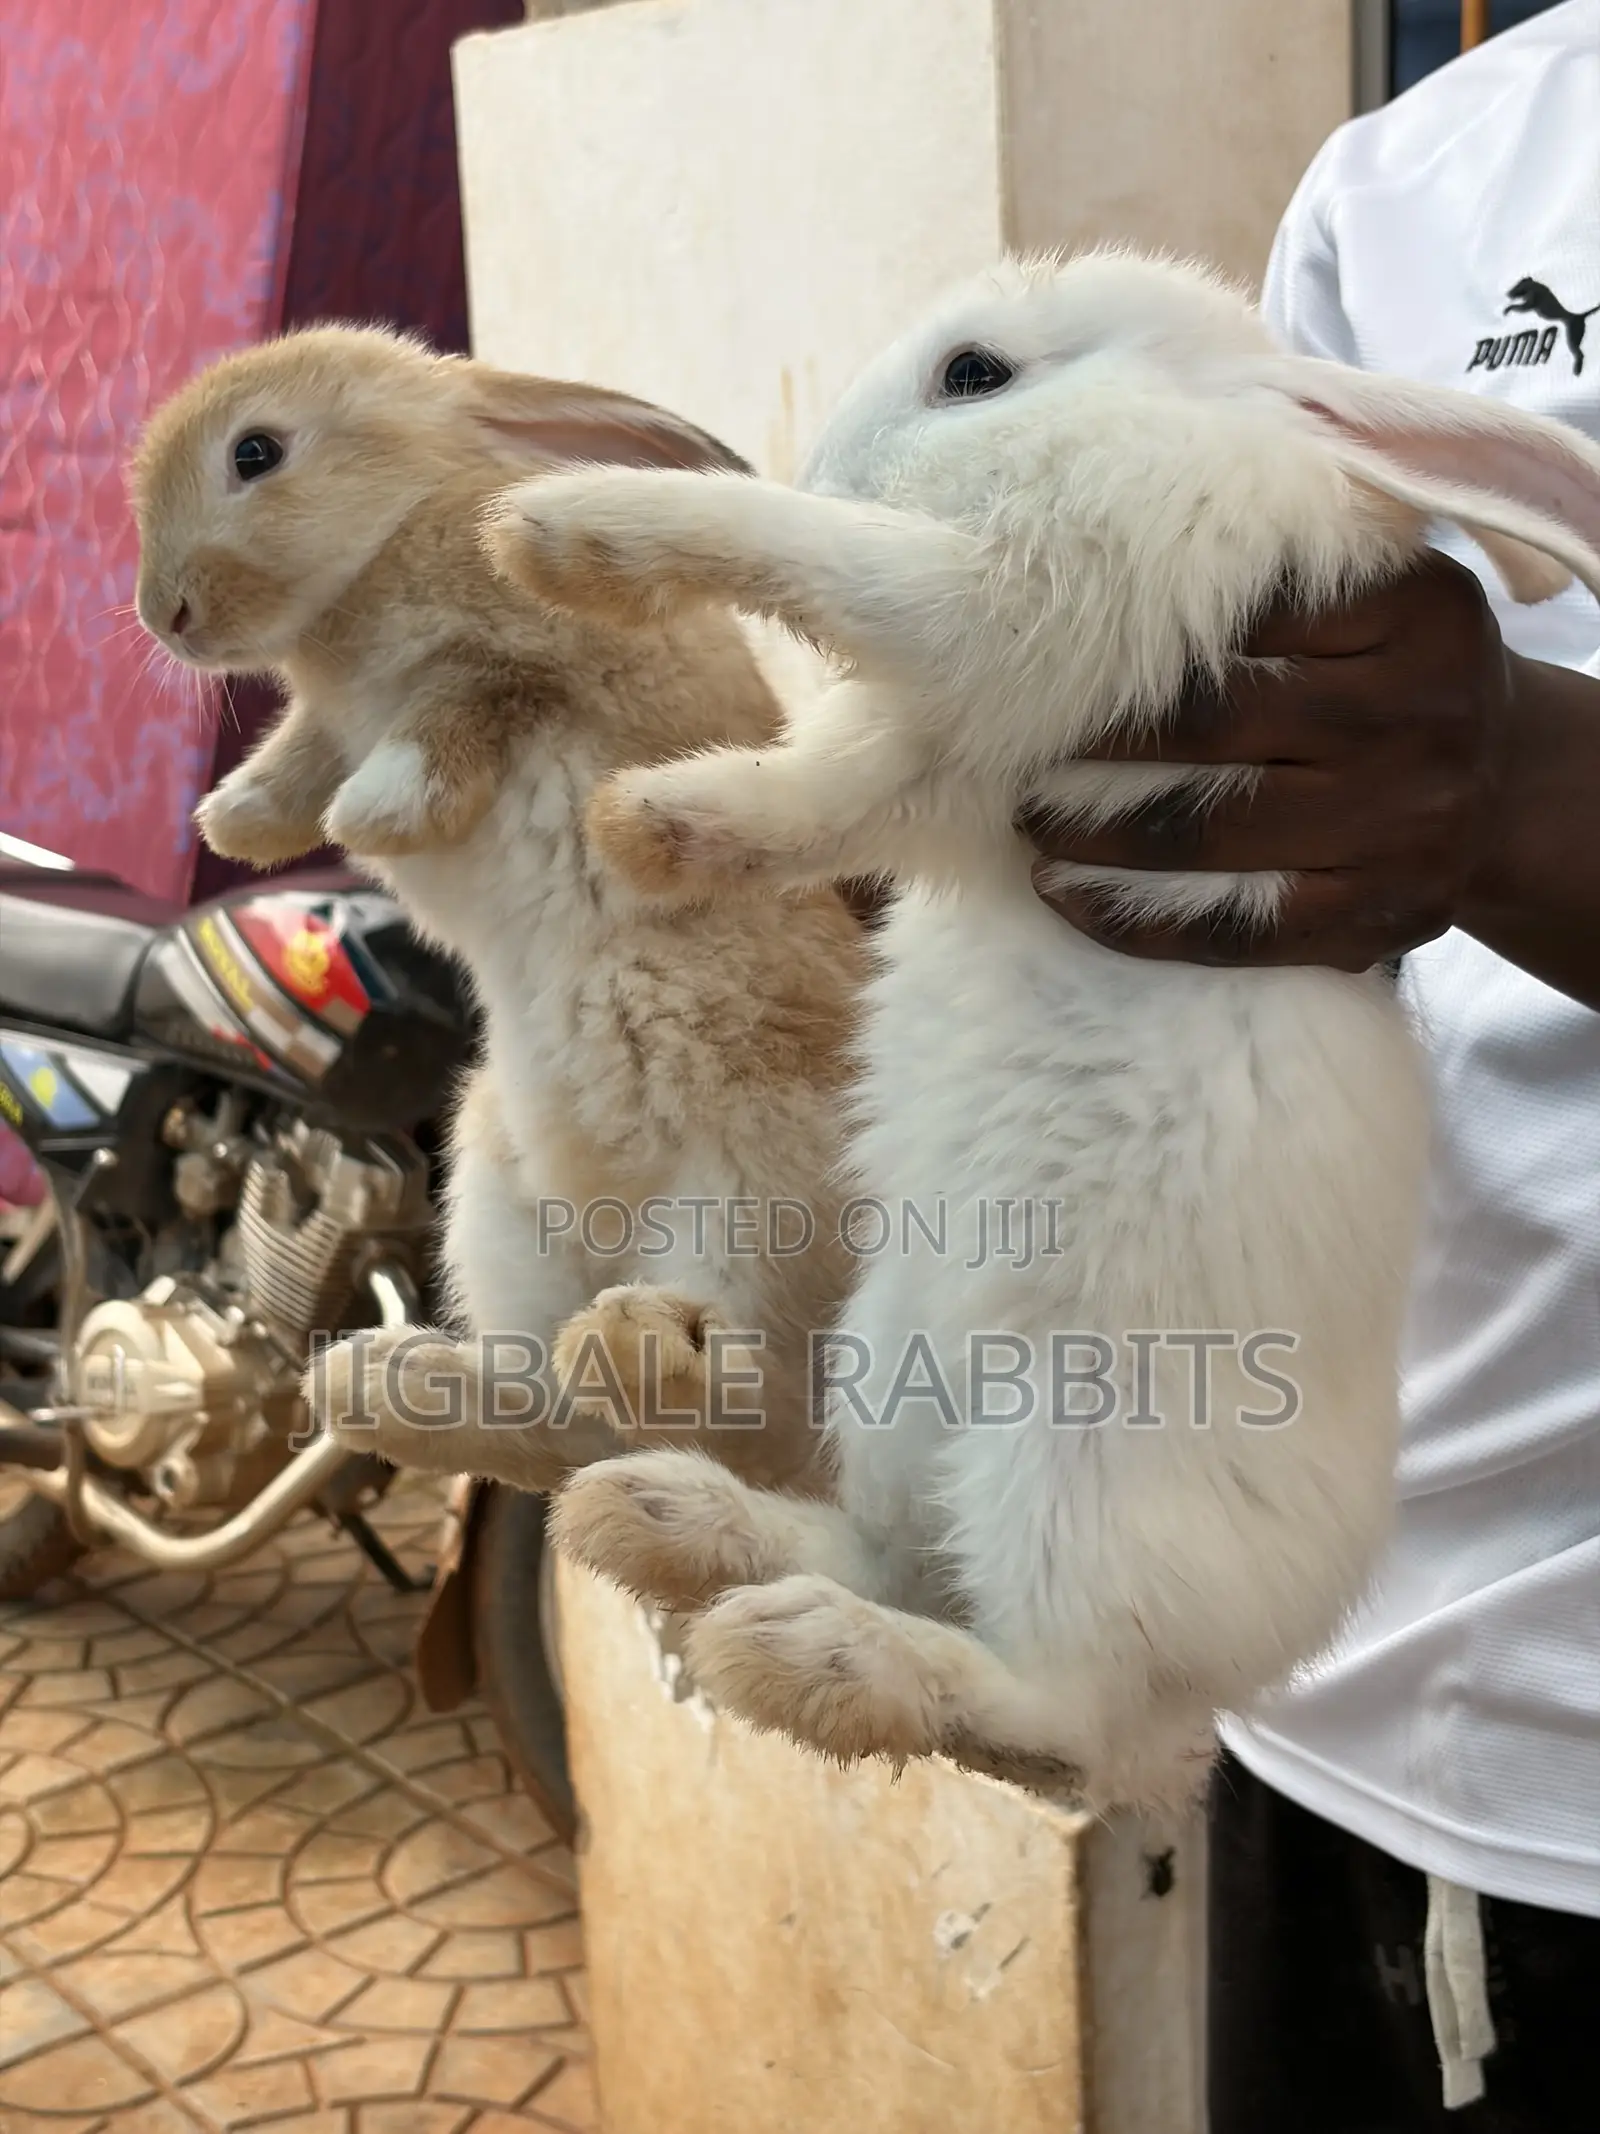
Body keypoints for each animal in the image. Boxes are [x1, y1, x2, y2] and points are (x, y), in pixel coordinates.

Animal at [131, 323, 867, 1502]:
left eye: (254, 452)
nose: (168, 615)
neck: (394, 537)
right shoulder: (338, 718)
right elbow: (305, 751)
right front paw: (236, 820)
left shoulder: (539, 671)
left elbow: (464, 704)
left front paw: (375, 809)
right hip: (494, 1203)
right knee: (561, 1428)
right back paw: (378, 1379)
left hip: (757, 1197)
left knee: (747, 1410)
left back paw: (648, 1343)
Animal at [478, 249, 1600, 1809]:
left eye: (975, 373)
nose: (825, 453)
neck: (1181, 436)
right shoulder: (951, 761)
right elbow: (823, 789)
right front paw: (648, 819)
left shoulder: (1022, 609)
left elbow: (836, 560)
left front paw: (571, 524)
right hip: (891, 1386)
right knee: (903, 1558)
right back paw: (669, 1514)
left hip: (1073, 1471)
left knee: (1048, 1702)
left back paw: (806, 1649)